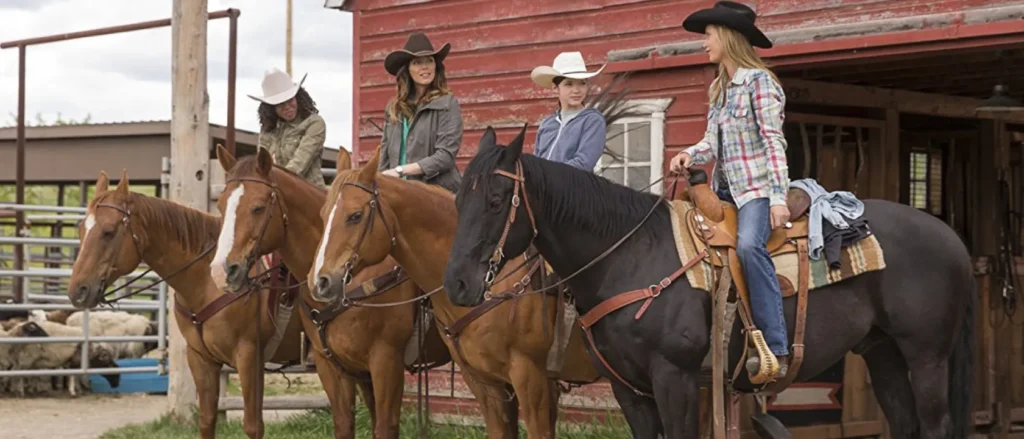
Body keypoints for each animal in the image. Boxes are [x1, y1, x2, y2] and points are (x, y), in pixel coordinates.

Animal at [65, 170, 299, 437]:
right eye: (81, 230)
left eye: (108, 232)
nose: (77, 290)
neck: (209, 282)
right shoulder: (200, 358)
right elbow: (207, 420)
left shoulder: (249, 356)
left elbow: (253, 425)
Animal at [209, 147, 450, 437]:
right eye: (221, 206)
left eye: (258, 207)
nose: (221, 271)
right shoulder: (334, 367)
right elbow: (344, 424)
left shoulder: (386, 361)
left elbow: (384, 426)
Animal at [440, 123, 974, 437]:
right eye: (458, 199)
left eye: (495, 201)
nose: (458, 285)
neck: (631, 258)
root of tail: (951, 238)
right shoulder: (629, 390)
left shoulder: (674, 379)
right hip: (883, 352)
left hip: (927, 356)